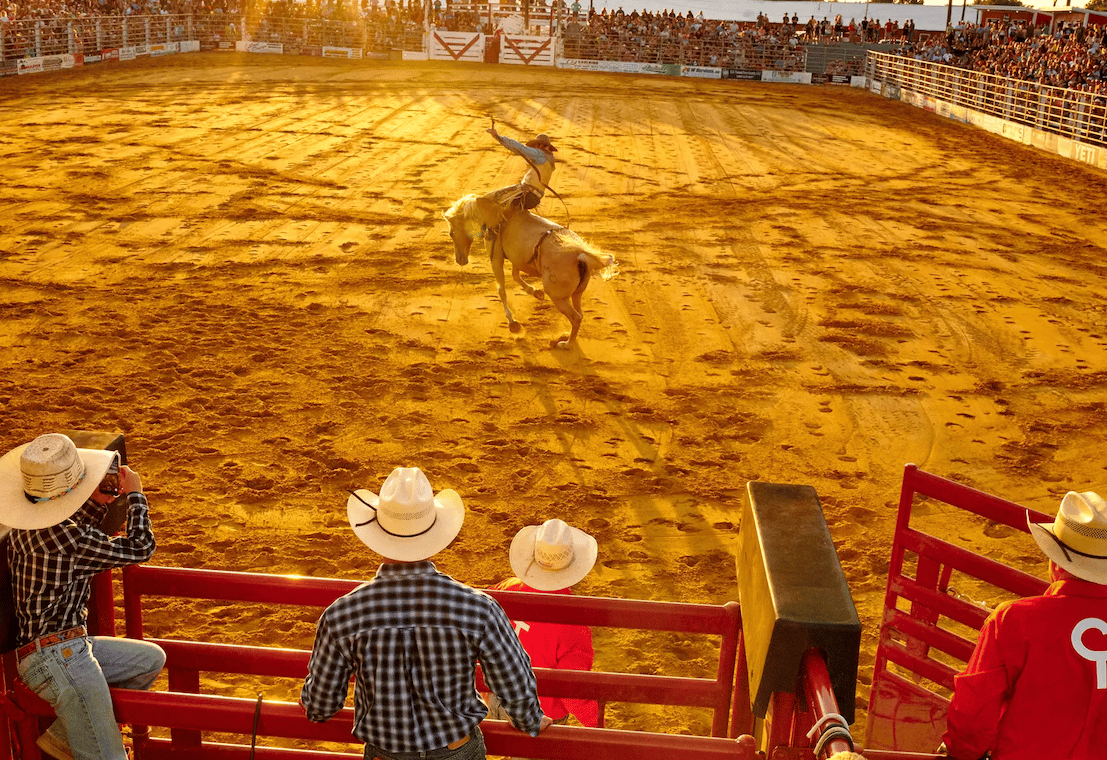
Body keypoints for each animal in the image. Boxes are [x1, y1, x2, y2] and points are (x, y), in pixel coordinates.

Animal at [445, 194, 619, 351]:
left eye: (451, 233)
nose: (460, 259)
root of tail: (580, 254)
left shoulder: (496, 258)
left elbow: (501, 289)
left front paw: (513, 324)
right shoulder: (516, 258)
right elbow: (515, 275)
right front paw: (536, 292)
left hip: (558, 297)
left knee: (575, 317)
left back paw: (566, 344)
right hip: (577, 293)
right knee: (580, 315)